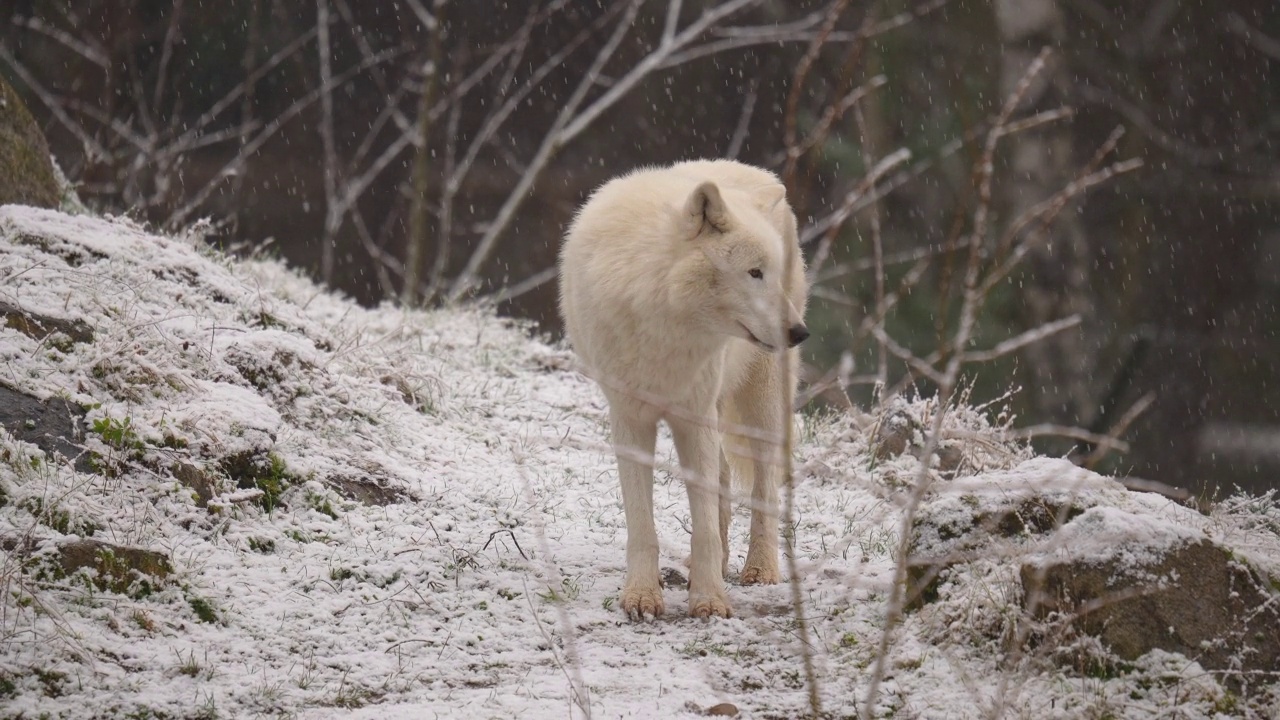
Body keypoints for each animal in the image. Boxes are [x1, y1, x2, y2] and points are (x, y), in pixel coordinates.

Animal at [560, 158, 808, 617]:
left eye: (772, 274)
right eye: (754, 272)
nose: (801, 333)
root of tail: (754, 170)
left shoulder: (694, 418)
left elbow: (704, 522)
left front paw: (709, 600)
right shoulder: (630, 418)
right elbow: (642, 522)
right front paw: (642, 596)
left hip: (761, 402)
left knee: (764, 486)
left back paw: (760, 570)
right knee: (725, 481)